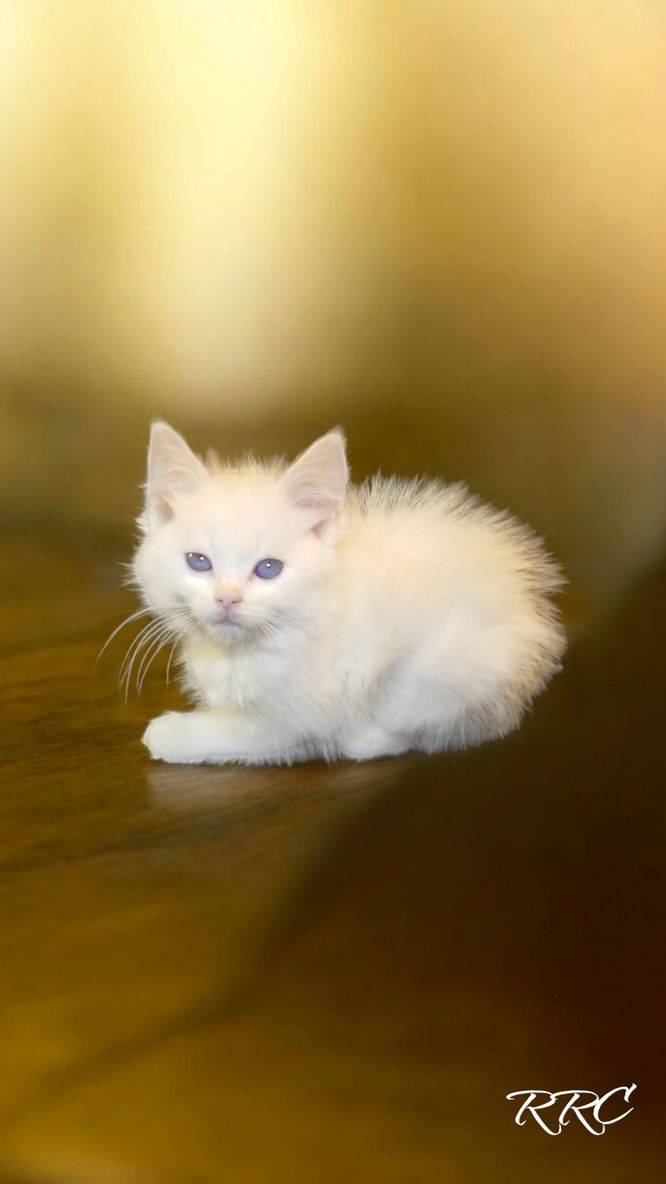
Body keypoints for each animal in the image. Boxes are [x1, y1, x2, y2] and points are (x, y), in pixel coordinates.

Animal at [133, 421, 564, 762]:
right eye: (198, 562)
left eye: (268, 568)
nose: (227, 598)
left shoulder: (308, 710)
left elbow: (249, 730)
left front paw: (173, 733)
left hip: (445, 667)